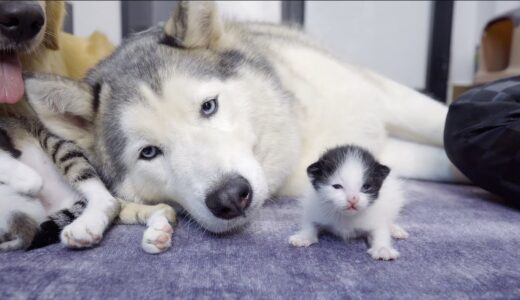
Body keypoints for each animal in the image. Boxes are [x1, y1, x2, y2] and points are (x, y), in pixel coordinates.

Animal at [20, 2, 460, 236]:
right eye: (148, 152)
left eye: (208, 106)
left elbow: (446, 127)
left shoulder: (388, 100)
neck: (304, 134)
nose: (231, 198)